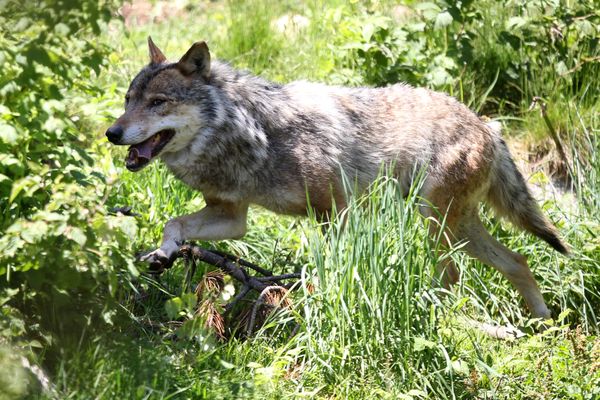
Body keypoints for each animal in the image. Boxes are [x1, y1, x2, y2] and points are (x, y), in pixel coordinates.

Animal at [105, 37, 568, 318]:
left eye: (158, 102)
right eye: (127, 100)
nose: (112, 133)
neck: (252, 132)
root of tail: (487, 126)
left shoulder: (337, 212)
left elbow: (332, 268)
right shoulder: (234, 218)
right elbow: (174, 224)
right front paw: (163, 254)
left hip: (435, 224)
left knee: (456, 277)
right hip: (457, 227)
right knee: (518, 260)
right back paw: (542, 325)